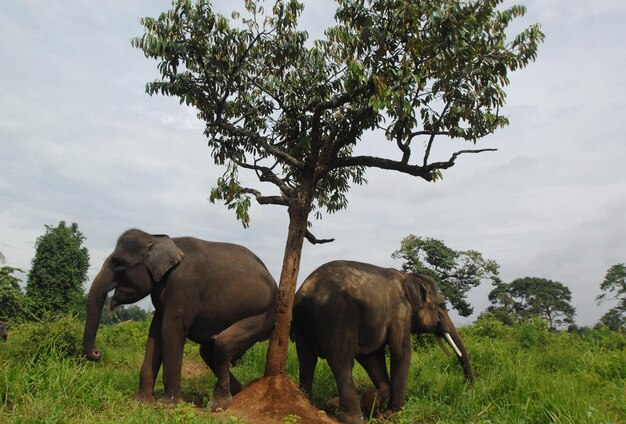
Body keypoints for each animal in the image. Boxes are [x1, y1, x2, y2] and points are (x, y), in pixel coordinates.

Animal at [81, 230, 276, 412]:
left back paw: (218, 405)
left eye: (117, 263)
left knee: (223, 344)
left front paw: (167, 404)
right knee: (208, 350)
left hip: (262, 317)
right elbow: (155, 332)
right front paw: (141, 402)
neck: (158, 240)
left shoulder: (183, 285)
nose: (97, 353)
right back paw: (237, 391)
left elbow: (171, 328)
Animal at [290, 260, 470, 422]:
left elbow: (371, 357)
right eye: (442, 305)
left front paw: (374, 399)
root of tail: (303, 292)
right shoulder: (400, 311)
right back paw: (353, 419)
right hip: (337, 314)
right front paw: (393, 415)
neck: (407, 276)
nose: (467, 387)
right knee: (341, 361)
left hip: (301, 322)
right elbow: (400, 352)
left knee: (306, 360)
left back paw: (309, 405)